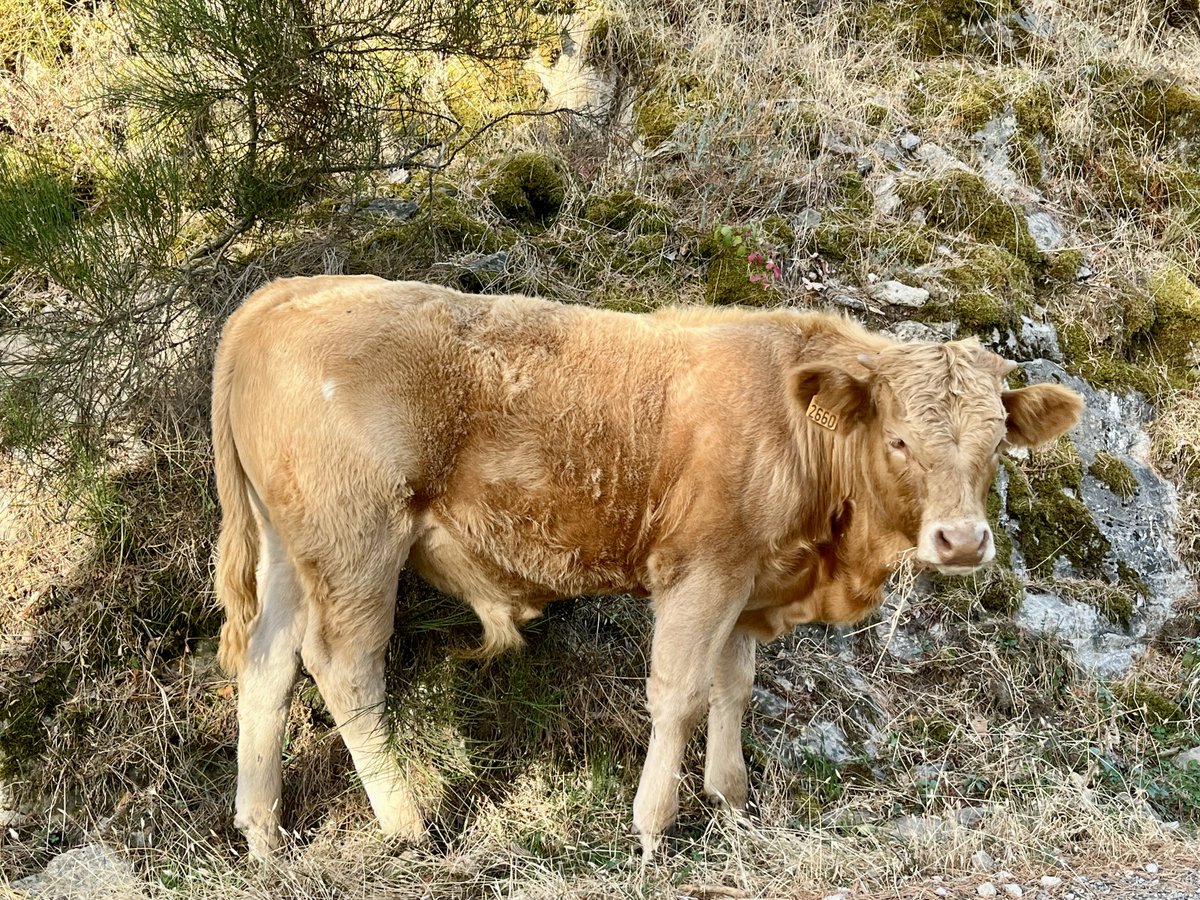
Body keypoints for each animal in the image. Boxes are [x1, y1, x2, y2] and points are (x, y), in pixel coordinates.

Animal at [212, 275, 1084, 859]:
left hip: (291, 551)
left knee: (268, 666)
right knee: (344, 669)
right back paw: (408, 822)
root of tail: (285, 294)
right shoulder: (702, 573)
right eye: (899, 440)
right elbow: (681, 693)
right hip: (358, 541)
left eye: (995, 444)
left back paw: (263, 831)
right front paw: (654, 824)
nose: (962, 540)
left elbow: (735, 686)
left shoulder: (750, 581)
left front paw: (731, 798)